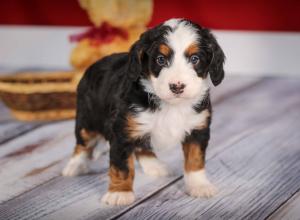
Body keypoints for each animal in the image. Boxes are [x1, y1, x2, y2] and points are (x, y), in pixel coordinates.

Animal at [62, 18, 224, 205]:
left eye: (195, 59)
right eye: (160, 60)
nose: (177, 86)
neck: (171, 105)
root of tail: (93, 65)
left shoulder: (197, 129)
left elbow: (195, 160)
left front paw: (199, 185)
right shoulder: (122, 131)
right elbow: (122, 166)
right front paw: (120, 193)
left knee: (142, 147)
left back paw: (155, 166)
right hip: (87, 119)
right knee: (82, 144)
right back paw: (74, 166)